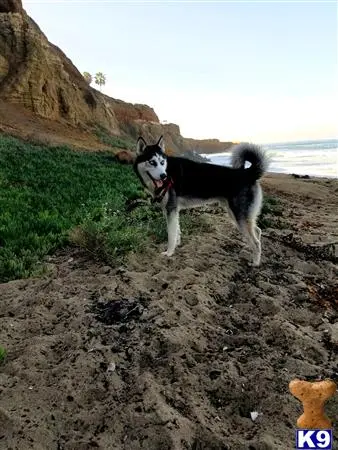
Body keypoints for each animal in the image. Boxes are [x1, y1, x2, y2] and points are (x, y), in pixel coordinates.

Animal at [133, 135, 268, 266]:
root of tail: (248, 173)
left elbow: (171, 234)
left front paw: (169, 252)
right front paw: (177, 245)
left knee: (256, 242)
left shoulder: (170, 209)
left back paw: (255, 263)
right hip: (236, 214)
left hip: (239, 216)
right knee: (257, 230)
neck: (168, 169)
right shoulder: (172, 210)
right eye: (152, 162)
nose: (164, 176)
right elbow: (176, 231)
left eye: (162, 162)